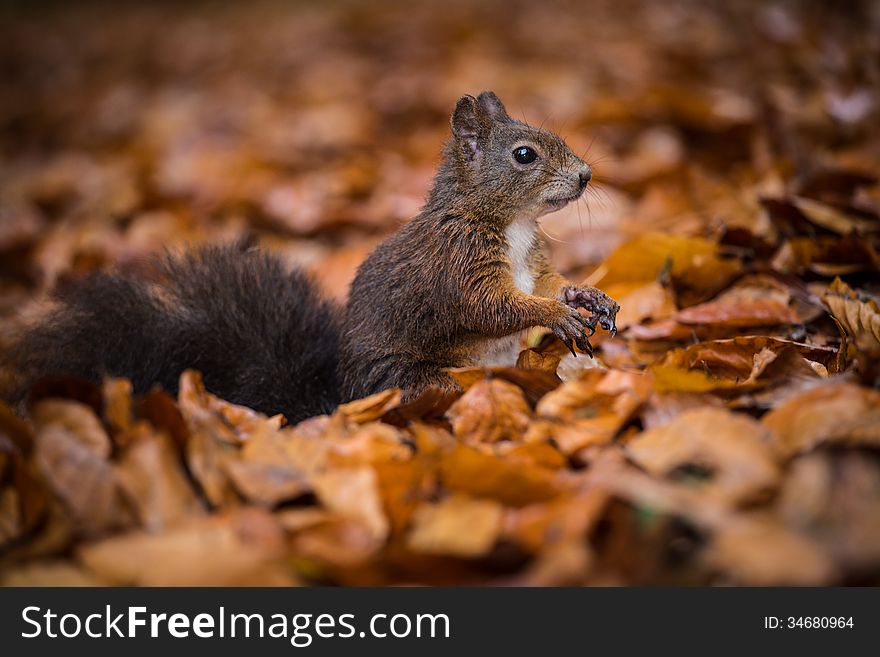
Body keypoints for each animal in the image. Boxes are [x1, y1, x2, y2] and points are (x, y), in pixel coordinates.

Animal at [1, 91, 620, 426]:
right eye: (525, 155)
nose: (587, 175)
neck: (511, 224)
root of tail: (338, 405)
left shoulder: (533, 263)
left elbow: (549, 283)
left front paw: (583, 295)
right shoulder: (456, 268)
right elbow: (492, 306)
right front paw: (555, 316)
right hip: (416, 382)